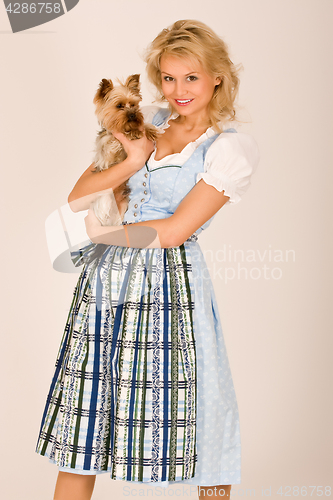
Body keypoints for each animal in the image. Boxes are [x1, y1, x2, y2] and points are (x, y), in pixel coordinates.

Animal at [91, 74, 158, 227]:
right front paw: (133, 133)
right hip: (104, 201)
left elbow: (143, 126)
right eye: (119, 106)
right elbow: (116, 138)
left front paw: (149, 130)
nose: (133, 115)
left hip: (122, 206)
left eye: (133, 105)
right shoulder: (108, 147)